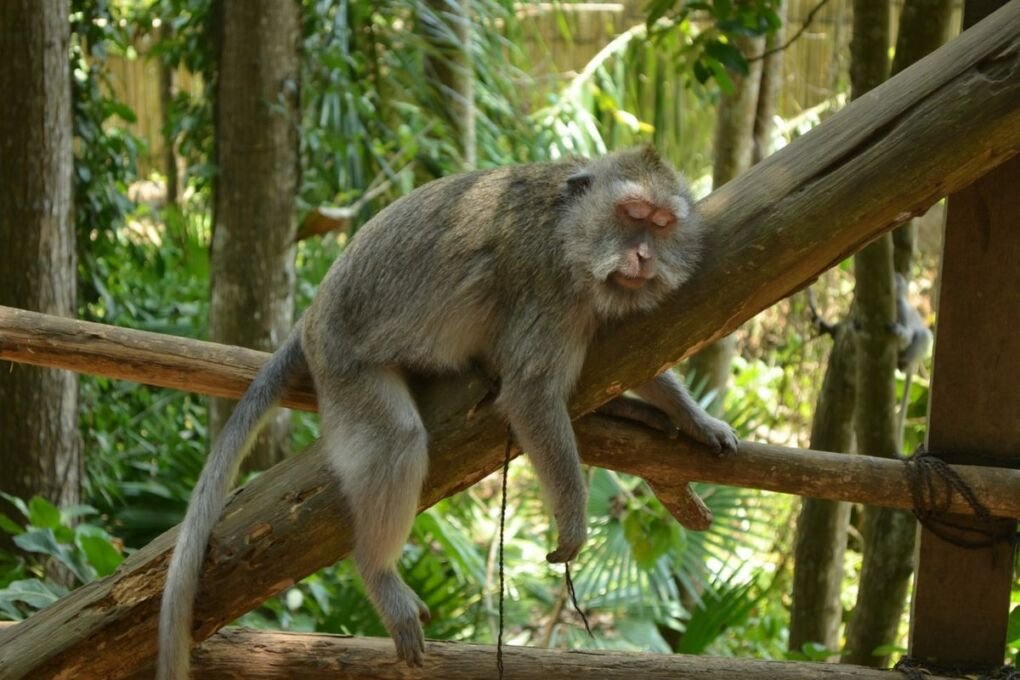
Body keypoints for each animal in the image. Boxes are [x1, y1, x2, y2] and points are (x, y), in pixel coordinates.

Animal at [157, 146, 734, 676]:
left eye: (661, 224)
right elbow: (531, 393)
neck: (568, 227)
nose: (644, 258)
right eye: (632, 215)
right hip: (344, 365)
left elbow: (642, 356)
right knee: (396, 439)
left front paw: (695, 417)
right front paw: (572, 518)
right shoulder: (548, 286)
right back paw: (377, 571)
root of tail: (312, 317)